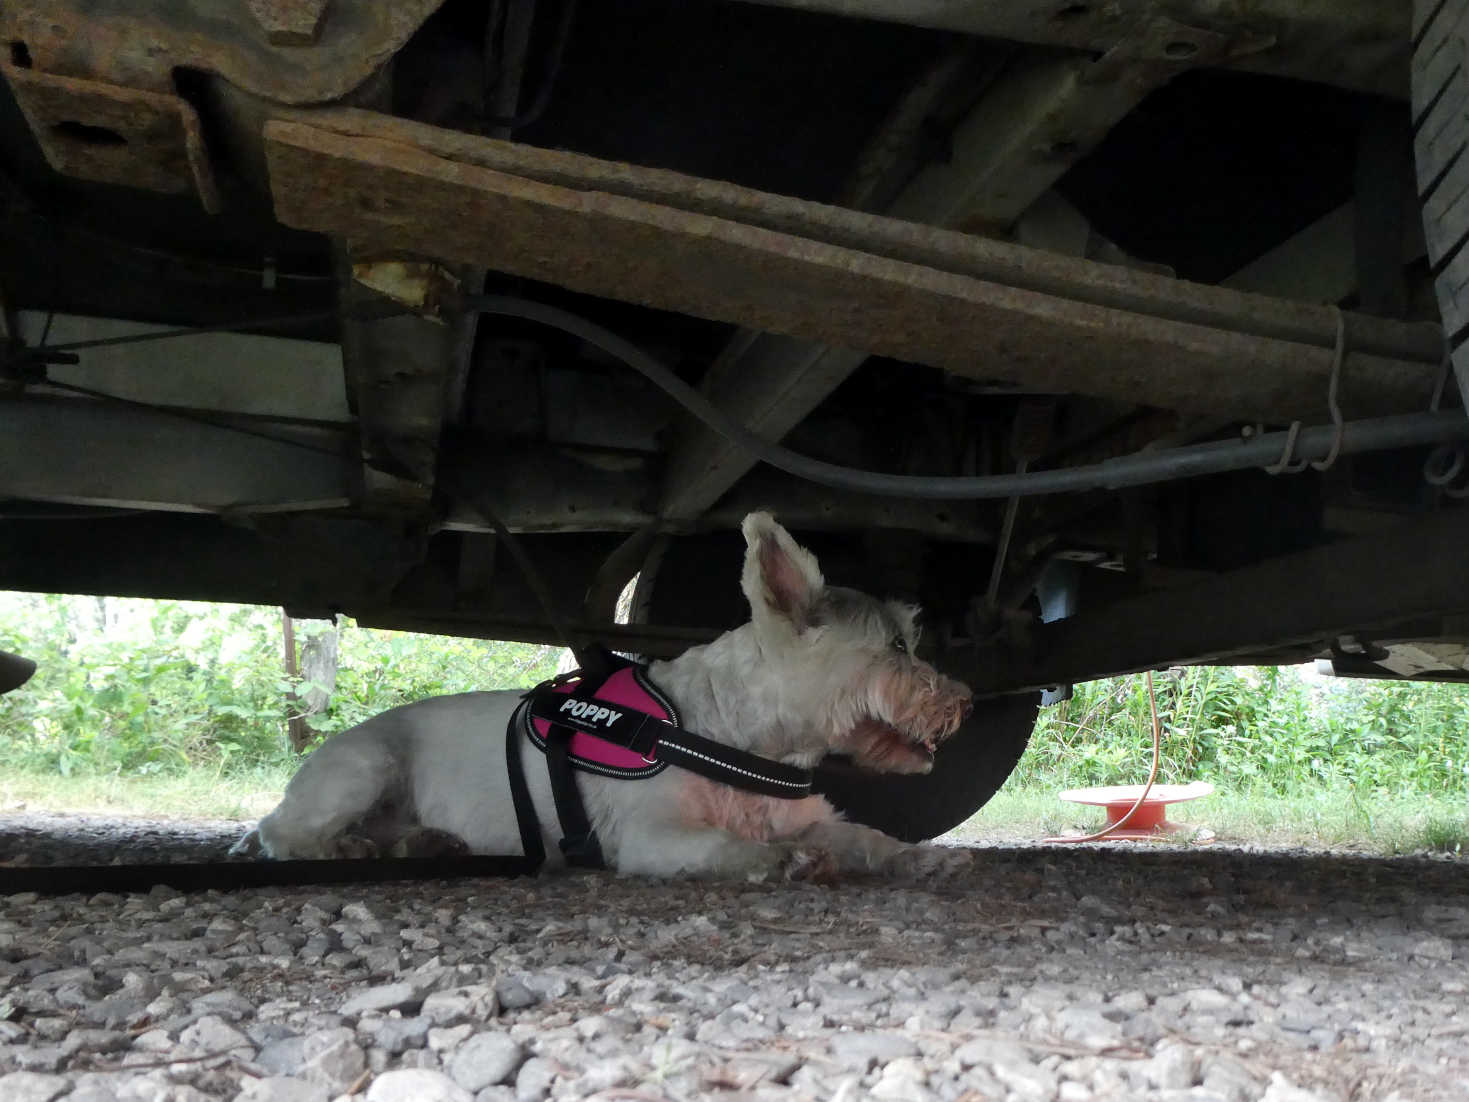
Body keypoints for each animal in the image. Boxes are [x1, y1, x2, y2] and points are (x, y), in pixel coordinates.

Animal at [235, 514, 975, 887]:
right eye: (899, 646)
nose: (965, 701)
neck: (732, 735)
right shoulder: (654, 837)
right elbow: (722, 846)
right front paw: (775, 861)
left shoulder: (804, 815)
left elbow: (863, 836)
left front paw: (918, 856)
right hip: (364, 767)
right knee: (284, 831)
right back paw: (337, 848)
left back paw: (423, 841)